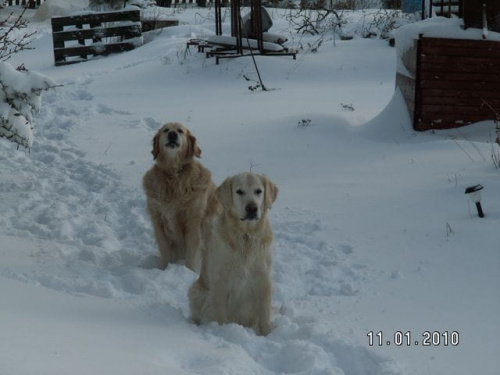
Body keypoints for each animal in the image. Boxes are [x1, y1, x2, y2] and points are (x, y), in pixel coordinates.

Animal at [143, 123, 217, 274]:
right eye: (165, 130)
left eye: (180, 131)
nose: (172, 134)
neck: (173, 175)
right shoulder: (158, 219)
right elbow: (165, 251)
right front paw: (164, 269)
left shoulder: (193, 220)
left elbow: (192, 252)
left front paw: (190, 272)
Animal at [189, 172, 280, 336]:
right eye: (239, 191)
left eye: (258, 191)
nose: (252, 208)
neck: (245, 236)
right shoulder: (220, 280)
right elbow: (220, 311)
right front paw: (222, 330)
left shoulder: (263, 277)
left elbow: (264, 310)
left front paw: (267, 333)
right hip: (196, 291)